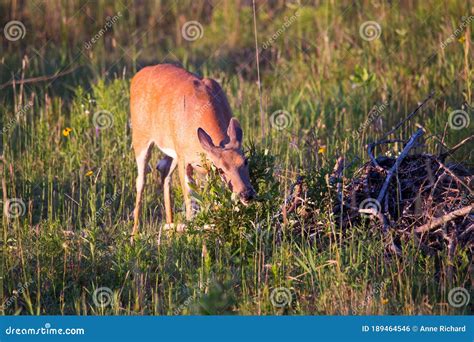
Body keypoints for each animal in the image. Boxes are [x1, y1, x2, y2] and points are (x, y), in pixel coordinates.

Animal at [130, 64, 256, 240]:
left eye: (245, 161)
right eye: (221, 169)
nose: (246, 194)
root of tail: (137, 76)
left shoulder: (201, 165)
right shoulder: (186, 160)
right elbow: (191, 204)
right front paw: (191, 236)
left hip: (172, 151)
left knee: (164, 172)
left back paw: (169, 225)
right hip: (140, 137)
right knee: (141, 180)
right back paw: (134, 234)